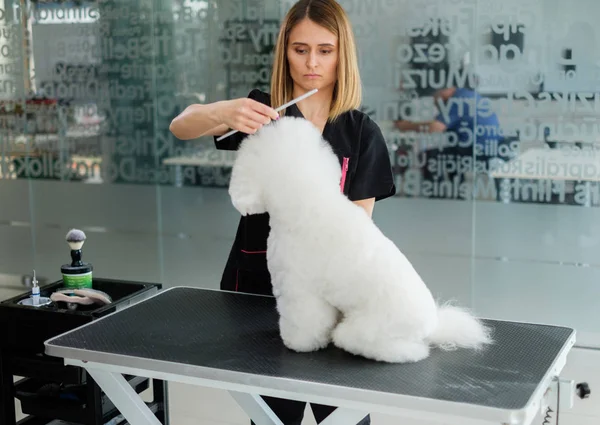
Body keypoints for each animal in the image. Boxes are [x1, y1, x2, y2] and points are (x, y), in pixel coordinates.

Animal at [227, 116, 490, 362]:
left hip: (371, 328)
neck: (305, 197)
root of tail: (432, 327)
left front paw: (298, 343)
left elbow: (305, 320)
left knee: (394, 348)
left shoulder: (300, 289)